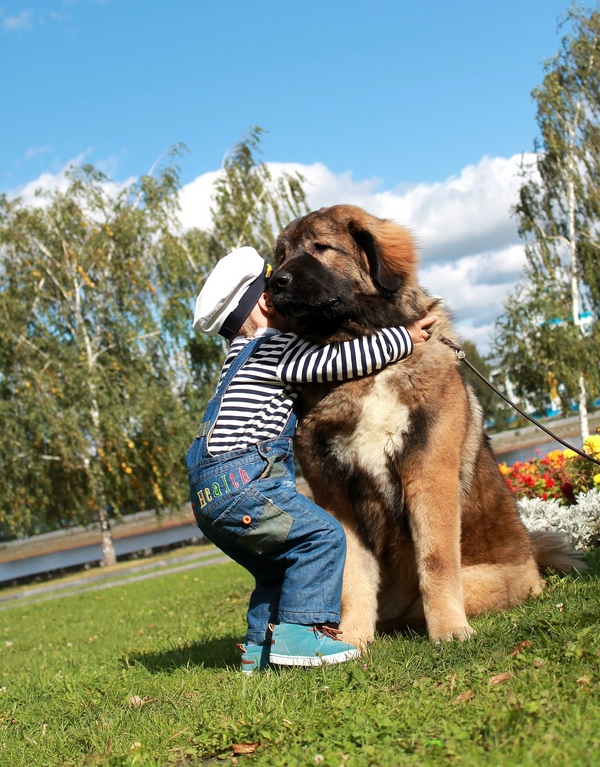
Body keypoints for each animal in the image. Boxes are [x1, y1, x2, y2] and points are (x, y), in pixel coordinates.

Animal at [270, 206, 580, 648]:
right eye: (281, 256)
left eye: (321, 248)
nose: (275, 282)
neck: (363, 361)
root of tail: (533, 559)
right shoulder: (333, 490)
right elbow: (350, 572)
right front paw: (350, 639)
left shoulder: (428, 472)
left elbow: (435, 559)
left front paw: (450, 630)